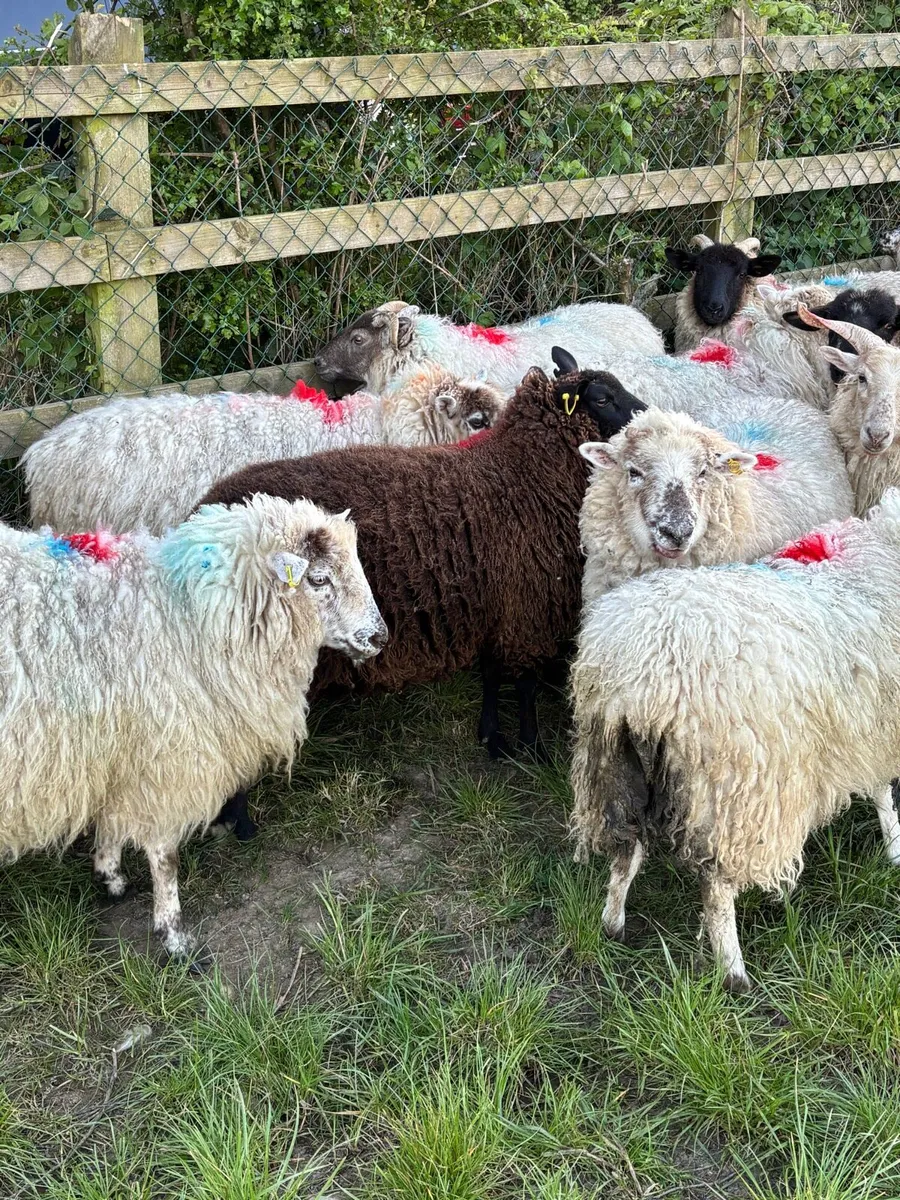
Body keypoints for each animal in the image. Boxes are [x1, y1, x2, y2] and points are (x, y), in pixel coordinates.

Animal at [0, 496, 386, 956]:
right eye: (318, 578)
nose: (379, 637)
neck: (188, 617)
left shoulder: (121, 751)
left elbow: (111, 821)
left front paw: (109, 876)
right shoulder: (169, 758)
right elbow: (165, 856)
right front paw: (173, 936)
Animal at [200, 352, 648, 766]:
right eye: (603, 398)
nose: (648, 415)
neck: (520, 475)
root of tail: (200, 510)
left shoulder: (495, 601)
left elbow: (490, 674)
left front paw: (491, 736)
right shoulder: (527, 606)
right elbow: (524, 684)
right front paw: (532, 747)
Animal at [570, 491, 900, 992]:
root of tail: (642, 681)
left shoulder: (865, 725)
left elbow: (879, 785)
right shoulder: (878, 721)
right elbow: (884, 792)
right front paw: (896, 849)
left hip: (614, 767)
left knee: (627, 851)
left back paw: (613, 924)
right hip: (734, 791)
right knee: (717, 889)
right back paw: (734, 973)